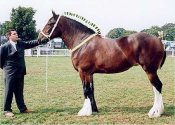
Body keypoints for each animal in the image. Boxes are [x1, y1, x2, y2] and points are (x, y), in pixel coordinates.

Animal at [37, 11, 166, 117]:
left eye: (50, 23)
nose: (39, 39)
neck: (83, 43)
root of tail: (159, 39)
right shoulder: (89, 73)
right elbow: (91, 90)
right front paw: (93, 109)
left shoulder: (83, 72)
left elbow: (85, 90)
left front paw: (84, 112)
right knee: (155, 87)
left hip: (149, 69)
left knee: (157, 85)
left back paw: (155, 112)